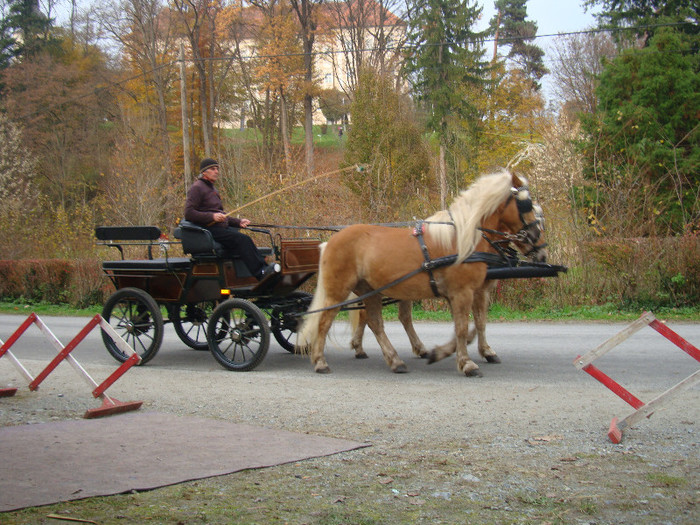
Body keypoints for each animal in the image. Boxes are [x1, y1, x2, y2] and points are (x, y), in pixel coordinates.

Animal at [296, 170, 548, 374]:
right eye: (527, 205)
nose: (542, 251)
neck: (463, 240)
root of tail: (330, 241)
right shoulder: (463, 292)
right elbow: (463, 327)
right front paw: (466, 363)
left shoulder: (469, 292)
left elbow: (475, 324)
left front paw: (461, 352)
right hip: (338, 291)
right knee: (324, 321)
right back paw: (320, 361)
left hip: (371, 290)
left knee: (374, 322)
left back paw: (395, 360)